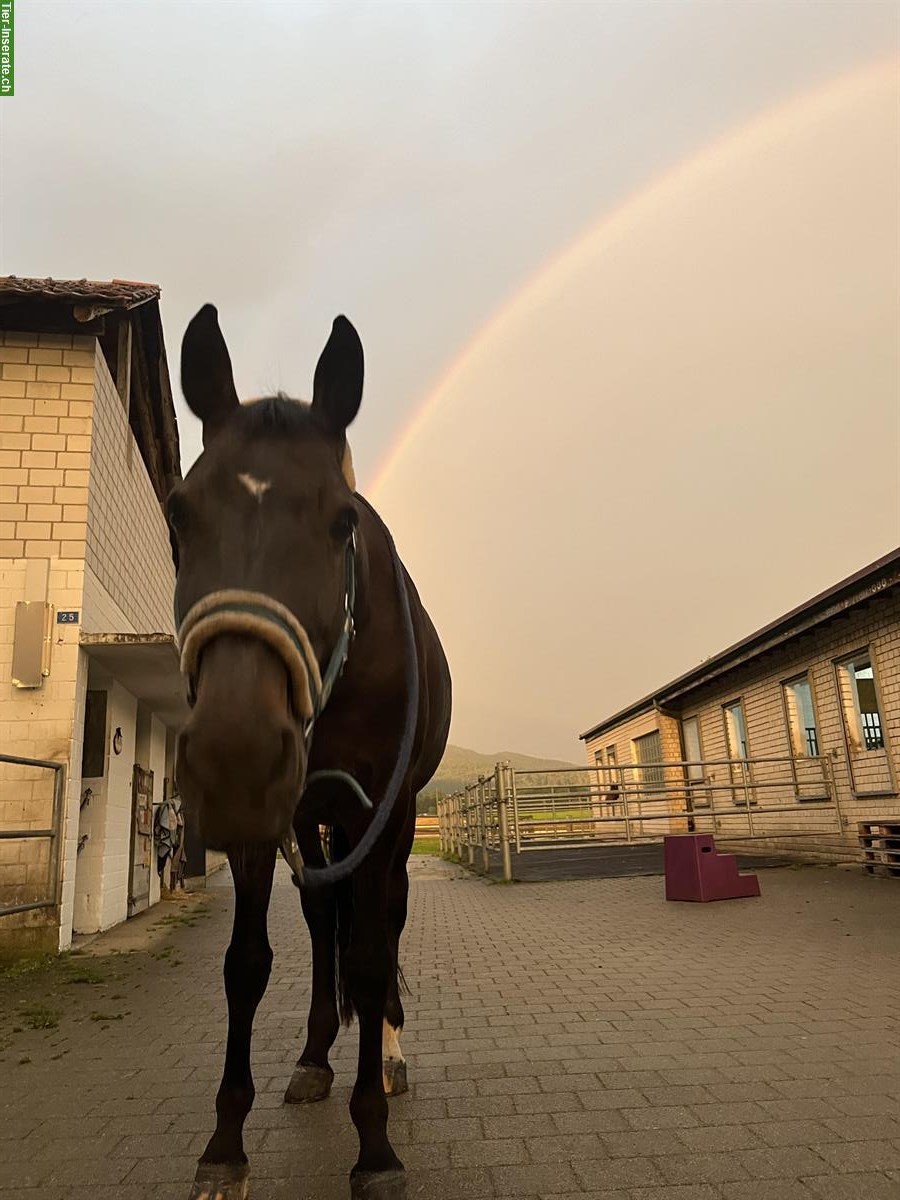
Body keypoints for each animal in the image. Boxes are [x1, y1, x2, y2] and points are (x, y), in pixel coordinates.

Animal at [169, 307, 451, 1200]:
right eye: (179, 512)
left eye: (342, 520)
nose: (236, 755)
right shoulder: (271, 822)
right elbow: (247, 962)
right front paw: (226, 1143)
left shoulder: (382, 811)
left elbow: (369, 954)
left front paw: (376, 1146)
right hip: (310, 820)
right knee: (322, 919)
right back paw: (317, 1054)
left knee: (380, 925)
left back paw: (386, 1053)